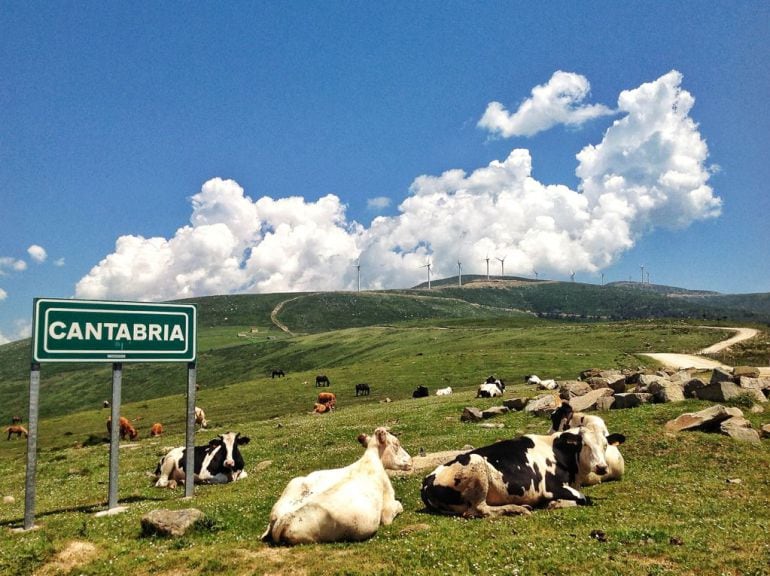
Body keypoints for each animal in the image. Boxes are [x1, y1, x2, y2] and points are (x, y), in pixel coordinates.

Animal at [260, 428, 412, 544]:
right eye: (396, 444)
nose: (410, 460)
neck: (372, 460)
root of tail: (282, 518)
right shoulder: (387, 513)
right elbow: (399, 506)